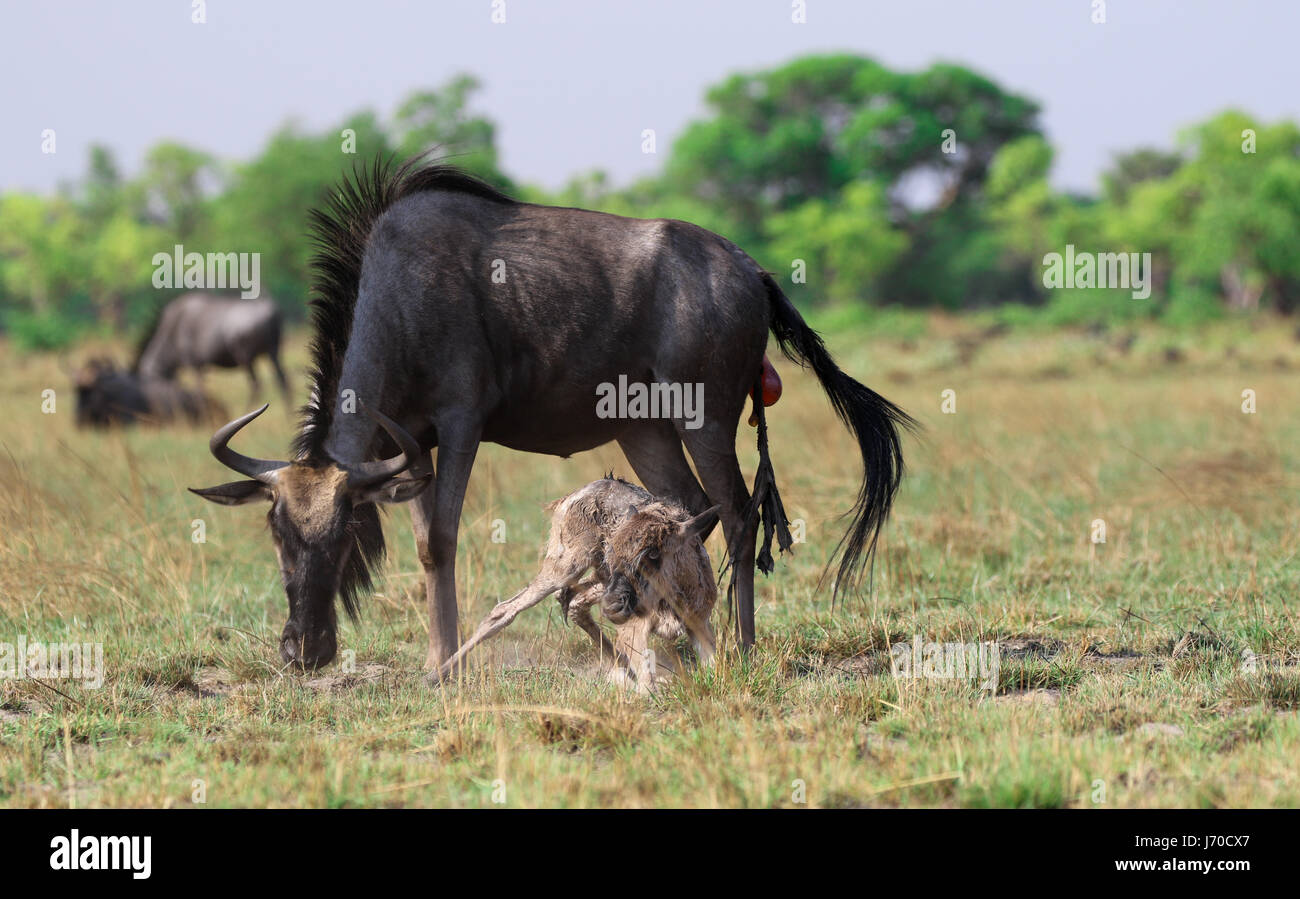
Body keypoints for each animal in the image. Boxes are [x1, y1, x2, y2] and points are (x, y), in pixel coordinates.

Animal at [439, 478, 722, 685]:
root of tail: (573, 495)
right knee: (505, 609)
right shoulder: (632, 627)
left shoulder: (700, 623)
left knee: (574, 603)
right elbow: (647, 683)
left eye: (653, 554)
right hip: (567, 567)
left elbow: (715, 667)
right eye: (613, 551)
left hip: (596, 579)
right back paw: (436, 674)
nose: (613, 606)